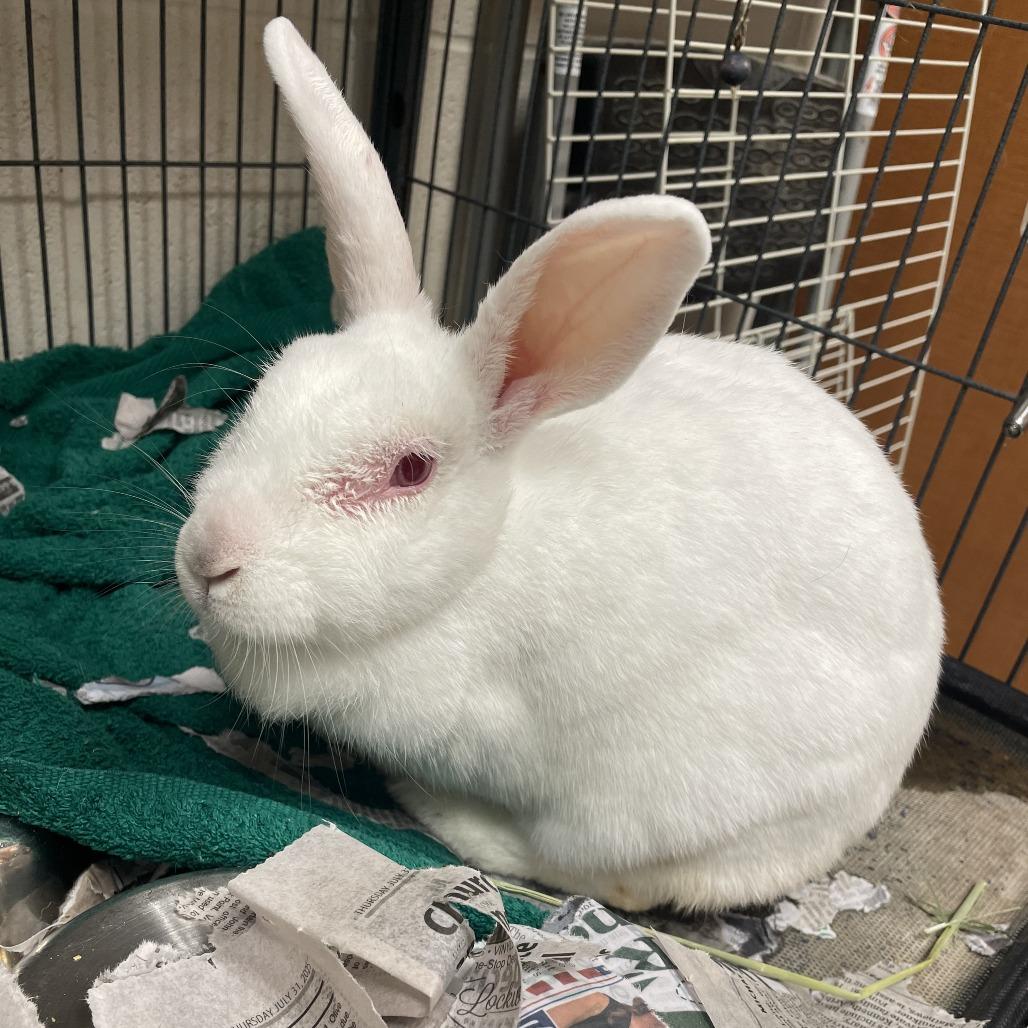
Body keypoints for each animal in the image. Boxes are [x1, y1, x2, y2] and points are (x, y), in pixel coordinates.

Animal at [175, 17, 943, 913]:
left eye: (410, 470)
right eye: (266, 393)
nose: (208, 559)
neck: (481, 562)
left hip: (657, 804)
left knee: (606, 877)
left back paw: (449, 815)